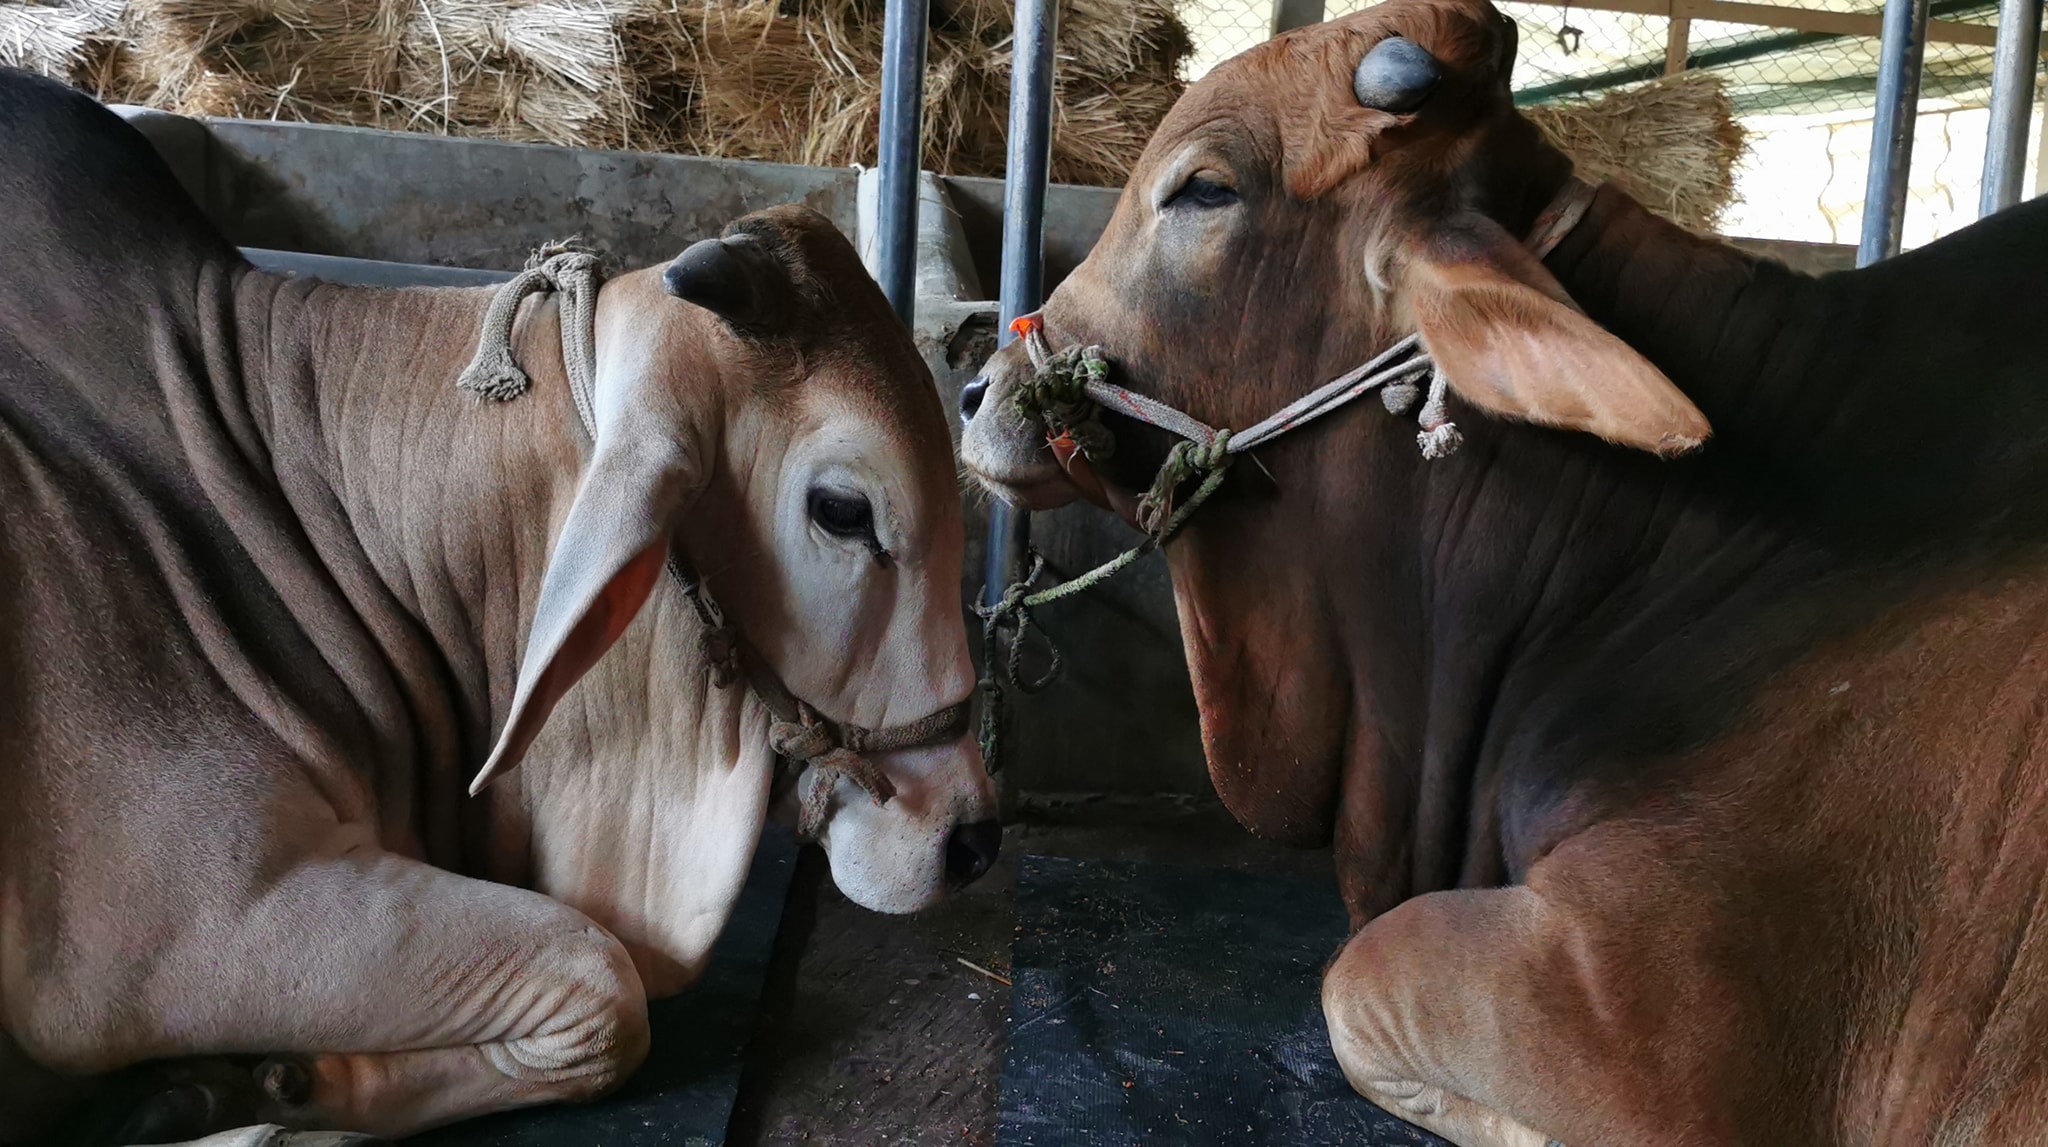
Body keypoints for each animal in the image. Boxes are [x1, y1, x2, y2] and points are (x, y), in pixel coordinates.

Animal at [0, 68, 998, 1146]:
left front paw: (269, 1083)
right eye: (843, 510)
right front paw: (242, 1103)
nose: (972, 840)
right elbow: (602, 982)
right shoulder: (168, 933)